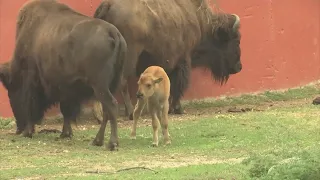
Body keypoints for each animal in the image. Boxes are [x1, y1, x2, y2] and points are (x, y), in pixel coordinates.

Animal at [0, 0, 127, 150]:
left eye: (11, 92)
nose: (19, 129)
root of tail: (113, 32)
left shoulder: (31, 82)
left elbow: (31, 104)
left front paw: (28, 132)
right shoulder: (66, 88)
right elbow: (66, 110)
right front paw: (65, 134)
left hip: (100, 86)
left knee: (111, 106)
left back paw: (111, 143)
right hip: (111, 85)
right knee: (107, 111)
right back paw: (97, 141)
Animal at [92, 0, 242, 121]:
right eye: (235, 40)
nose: (239, 67)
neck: (200, 22)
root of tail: (108, 5)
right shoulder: (183, 60)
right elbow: (178, 84)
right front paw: (178, 109)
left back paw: (101, 115)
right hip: (129, 57)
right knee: (122, 82)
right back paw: (129, 113)